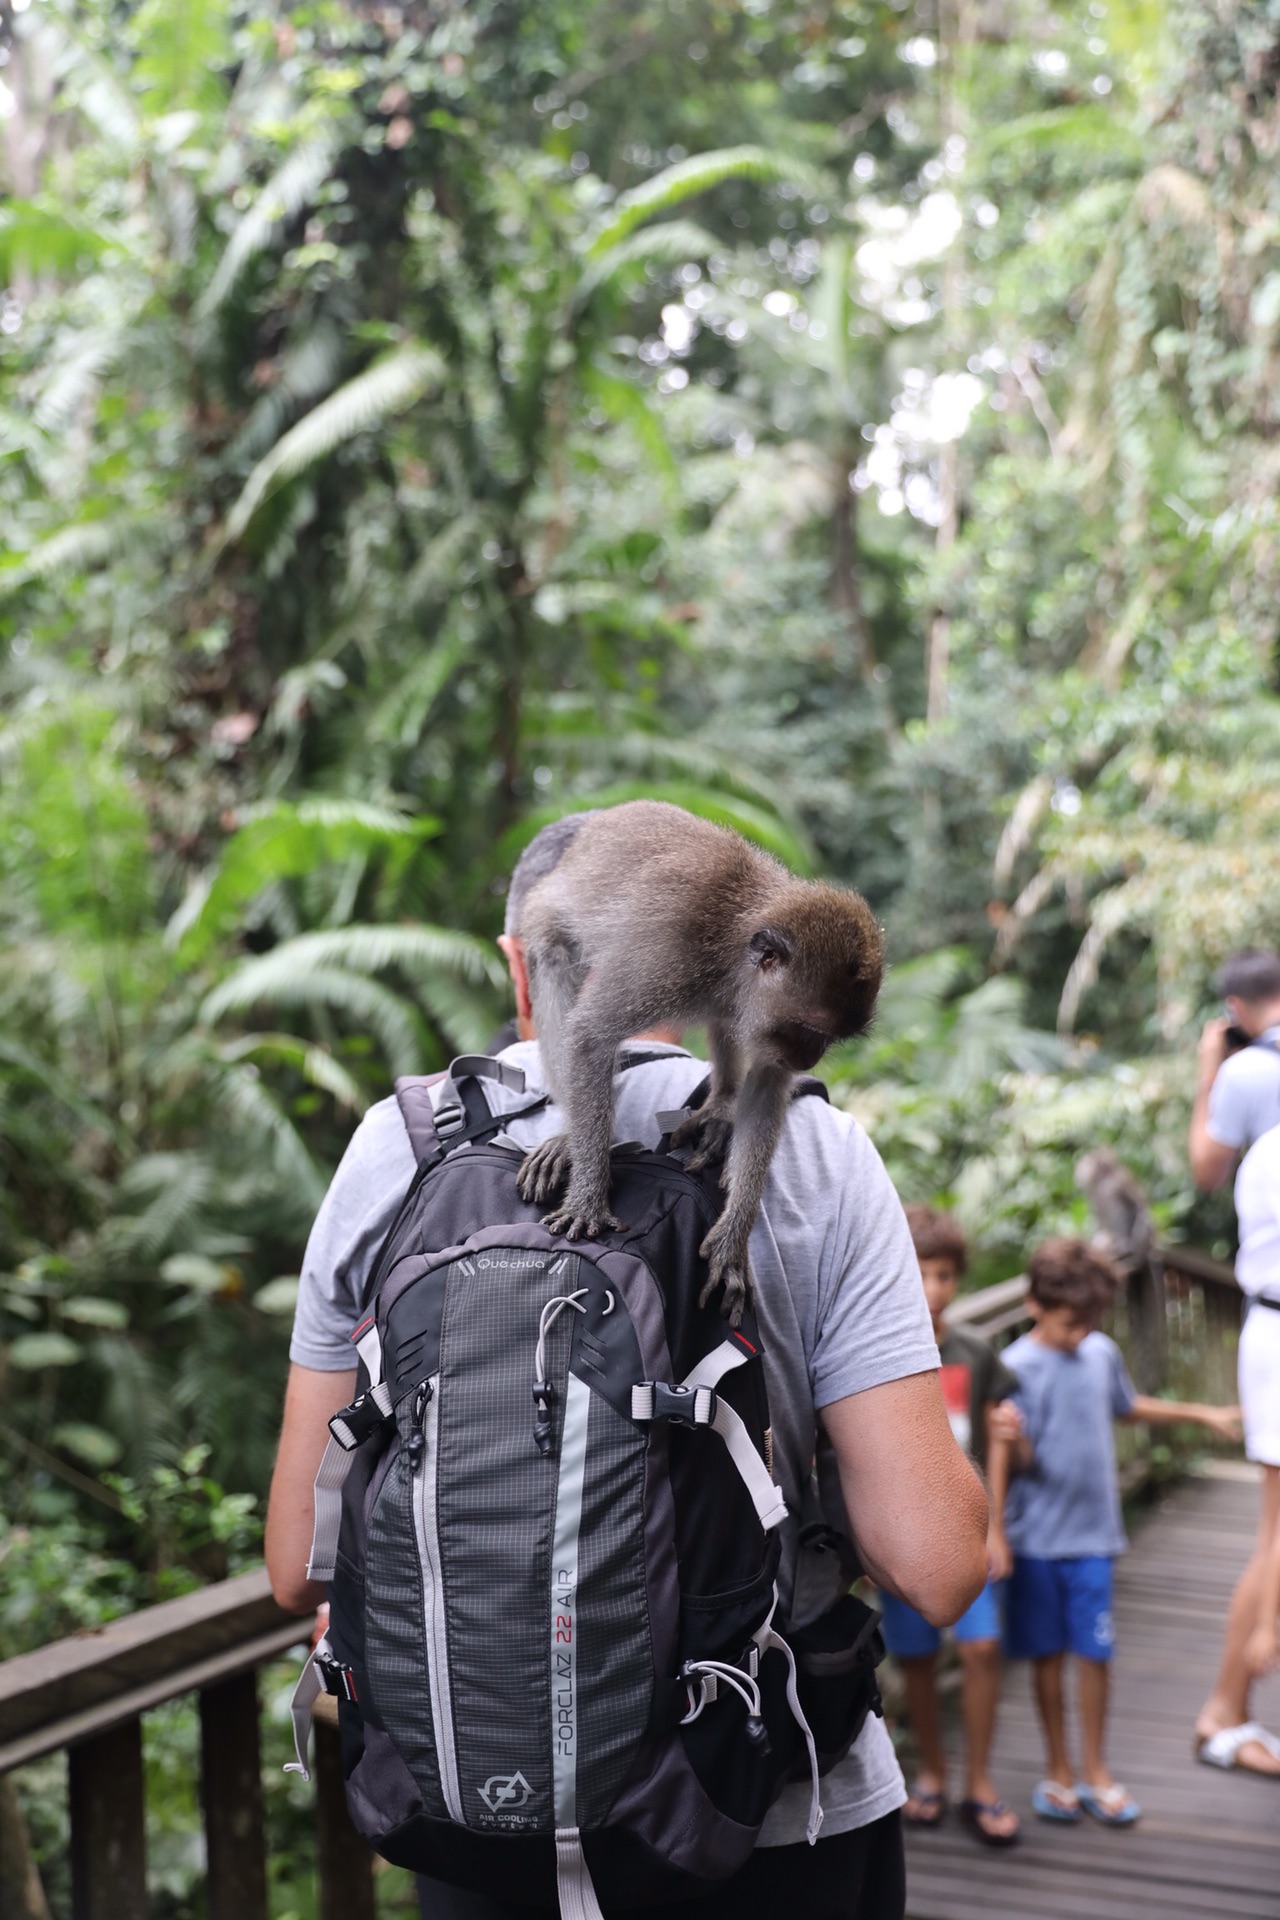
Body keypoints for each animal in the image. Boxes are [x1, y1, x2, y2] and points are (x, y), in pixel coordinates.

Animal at [514, 794, 886, 1320]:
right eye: (811, 1032)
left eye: (829, 1040)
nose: (810, 1060)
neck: (733, 942)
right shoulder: (669, 957)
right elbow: (588, 1035)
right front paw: (588, 1197)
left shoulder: (755, 1006)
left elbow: (768, 1083)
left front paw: (733, 1235)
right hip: (545, 915)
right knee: (553, 963)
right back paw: (571, 1136)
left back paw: (723, 1105)